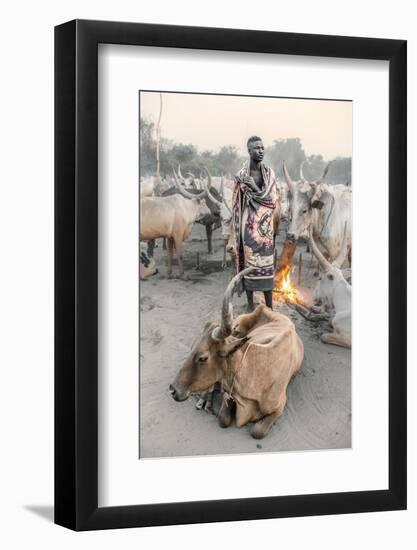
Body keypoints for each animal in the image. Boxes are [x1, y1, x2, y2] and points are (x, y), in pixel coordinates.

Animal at [168, 268, 302, 440]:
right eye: (192, 349)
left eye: (203, 358)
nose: (173, 389)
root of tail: (264, 308)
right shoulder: (228, 394)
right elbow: (223, 420)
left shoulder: (279, 407)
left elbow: (257, 432)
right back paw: (203, 401)